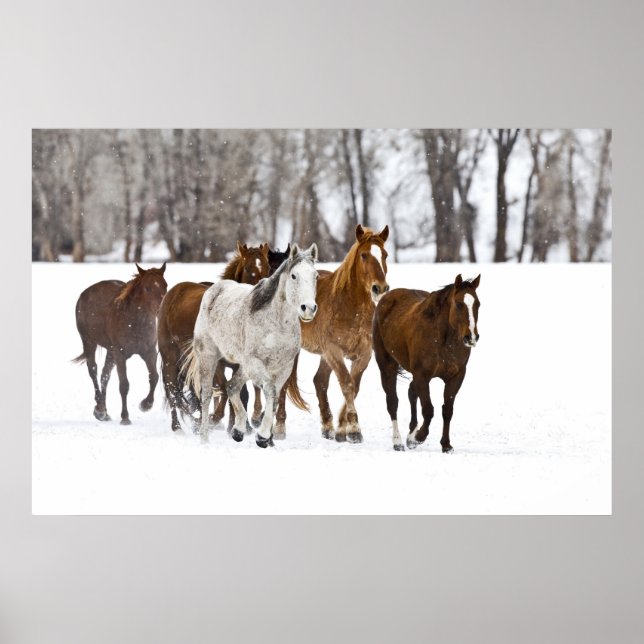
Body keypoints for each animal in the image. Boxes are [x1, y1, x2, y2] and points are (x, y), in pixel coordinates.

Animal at [72, 263, 168, 425]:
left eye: (165, 285)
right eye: (147, 288)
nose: (161, 309)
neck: (135, 321)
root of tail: (83, 295)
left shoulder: (149, 352)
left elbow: (154, 377)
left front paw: (145, 405)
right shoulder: (120, 354)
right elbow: (124, 385)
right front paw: (125, 417)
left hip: (110, 351)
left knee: (104, 375)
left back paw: (103, 412)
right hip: (89, 342)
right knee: (93, 371)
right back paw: (100, 409)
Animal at [157, 241, 272, 432]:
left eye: (268, 267)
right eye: (249, 268)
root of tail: (172, 293)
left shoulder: (239, 364)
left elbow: (241, 393)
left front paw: (237, 426)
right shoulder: (216, 363)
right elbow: (224, 389)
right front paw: (215, 419)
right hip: (170, 358)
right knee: (172, 389)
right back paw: (178, 427)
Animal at [182, 243, 319, 446]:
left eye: (316, 276)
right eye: (294, 275)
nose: (308, 308)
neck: (277, 324)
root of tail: (214, 291)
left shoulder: (283, 368)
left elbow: (274, 399)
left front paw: (265, 436)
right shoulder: (256, 363)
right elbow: (269, 391)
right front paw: (262, 436)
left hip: (244, 367)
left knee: (232, 386)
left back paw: (238, 430)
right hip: (209, 357)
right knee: (206, 395)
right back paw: (204, 438)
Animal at [274, 224, 390, 442]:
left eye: (385, 255)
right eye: (364, 255)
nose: (380, 288)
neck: (350, 307)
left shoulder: (363, 354)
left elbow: (354, 386)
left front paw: (342, 428)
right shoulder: (334, 350)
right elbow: (347, 384)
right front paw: (354, 429)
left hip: (324, 356)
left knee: (319, 381)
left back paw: (327, 426)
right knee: (285, 383)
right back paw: (279, 427)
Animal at [372, 273, 481, 452]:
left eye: (478, 304)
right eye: (459, 304)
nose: (471, 337)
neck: (443, 339)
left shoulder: (456, 376)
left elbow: (447, 410)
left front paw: (445, 444)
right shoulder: (422, 375)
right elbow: (428, 409)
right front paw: (419, 436)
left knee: (411, 393)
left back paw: (410, 436)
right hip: (387, 365)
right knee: (392, 402)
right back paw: (398, 441)